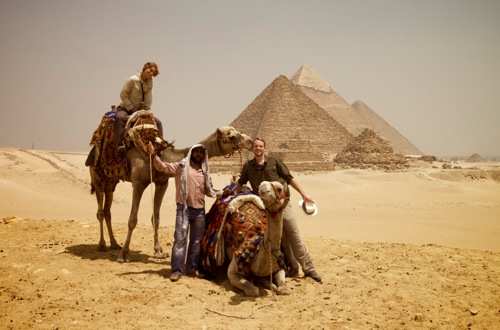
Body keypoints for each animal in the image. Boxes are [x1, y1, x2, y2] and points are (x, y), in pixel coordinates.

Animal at [88, 126, 252, 262]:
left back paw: (114, 243)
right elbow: (132, 220)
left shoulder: (162, 183)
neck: (161, 154)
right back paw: (102, 245)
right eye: (231, 136)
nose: (250, 141)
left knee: (107, 210)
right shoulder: (138, 183)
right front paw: (124, 254)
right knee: (100, 211)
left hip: (111, 182)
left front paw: (158, 252)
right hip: (98, 178)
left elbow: (156, 218)